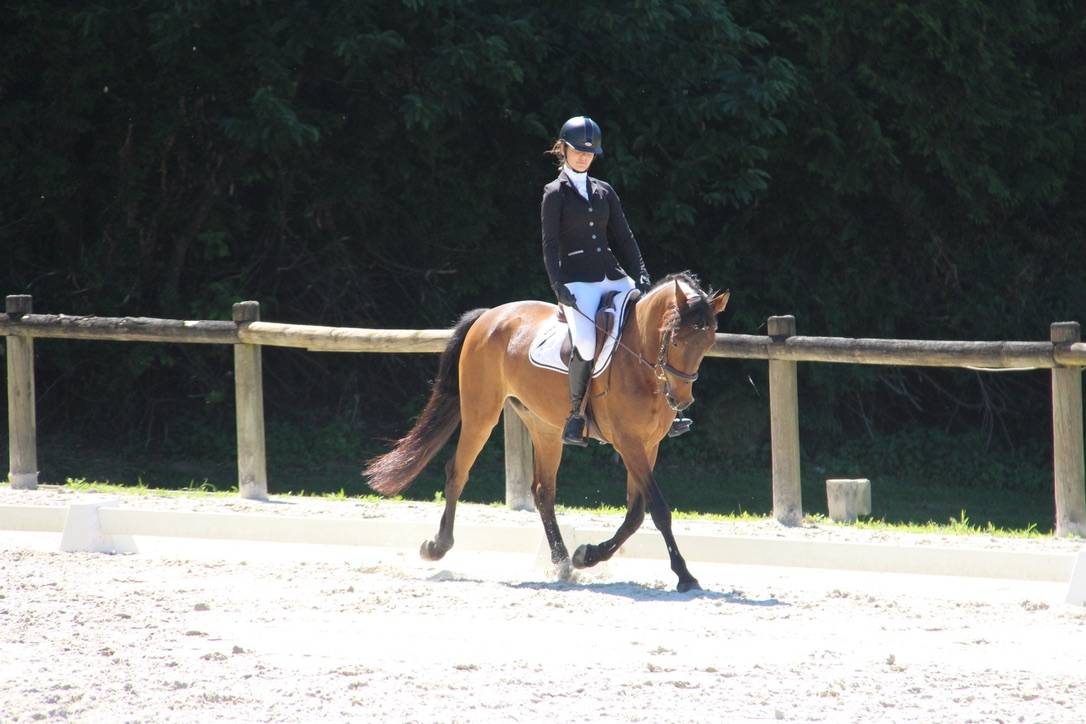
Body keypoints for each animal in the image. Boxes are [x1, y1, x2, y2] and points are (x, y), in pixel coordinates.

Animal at [364, 272, 729, 592]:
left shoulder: (648, 445)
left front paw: (587, 555)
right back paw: (437, 546)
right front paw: (684, 576)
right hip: (481, 413)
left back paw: (564, 561)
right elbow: (659, 510)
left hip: (545, 427)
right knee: (457, 472)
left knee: (543, 491)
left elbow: (636, 513)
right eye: (676, 339)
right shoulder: (629, 444)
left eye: (709, 341)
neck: (640, 360)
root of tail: (490, 315)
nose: (680, 400)